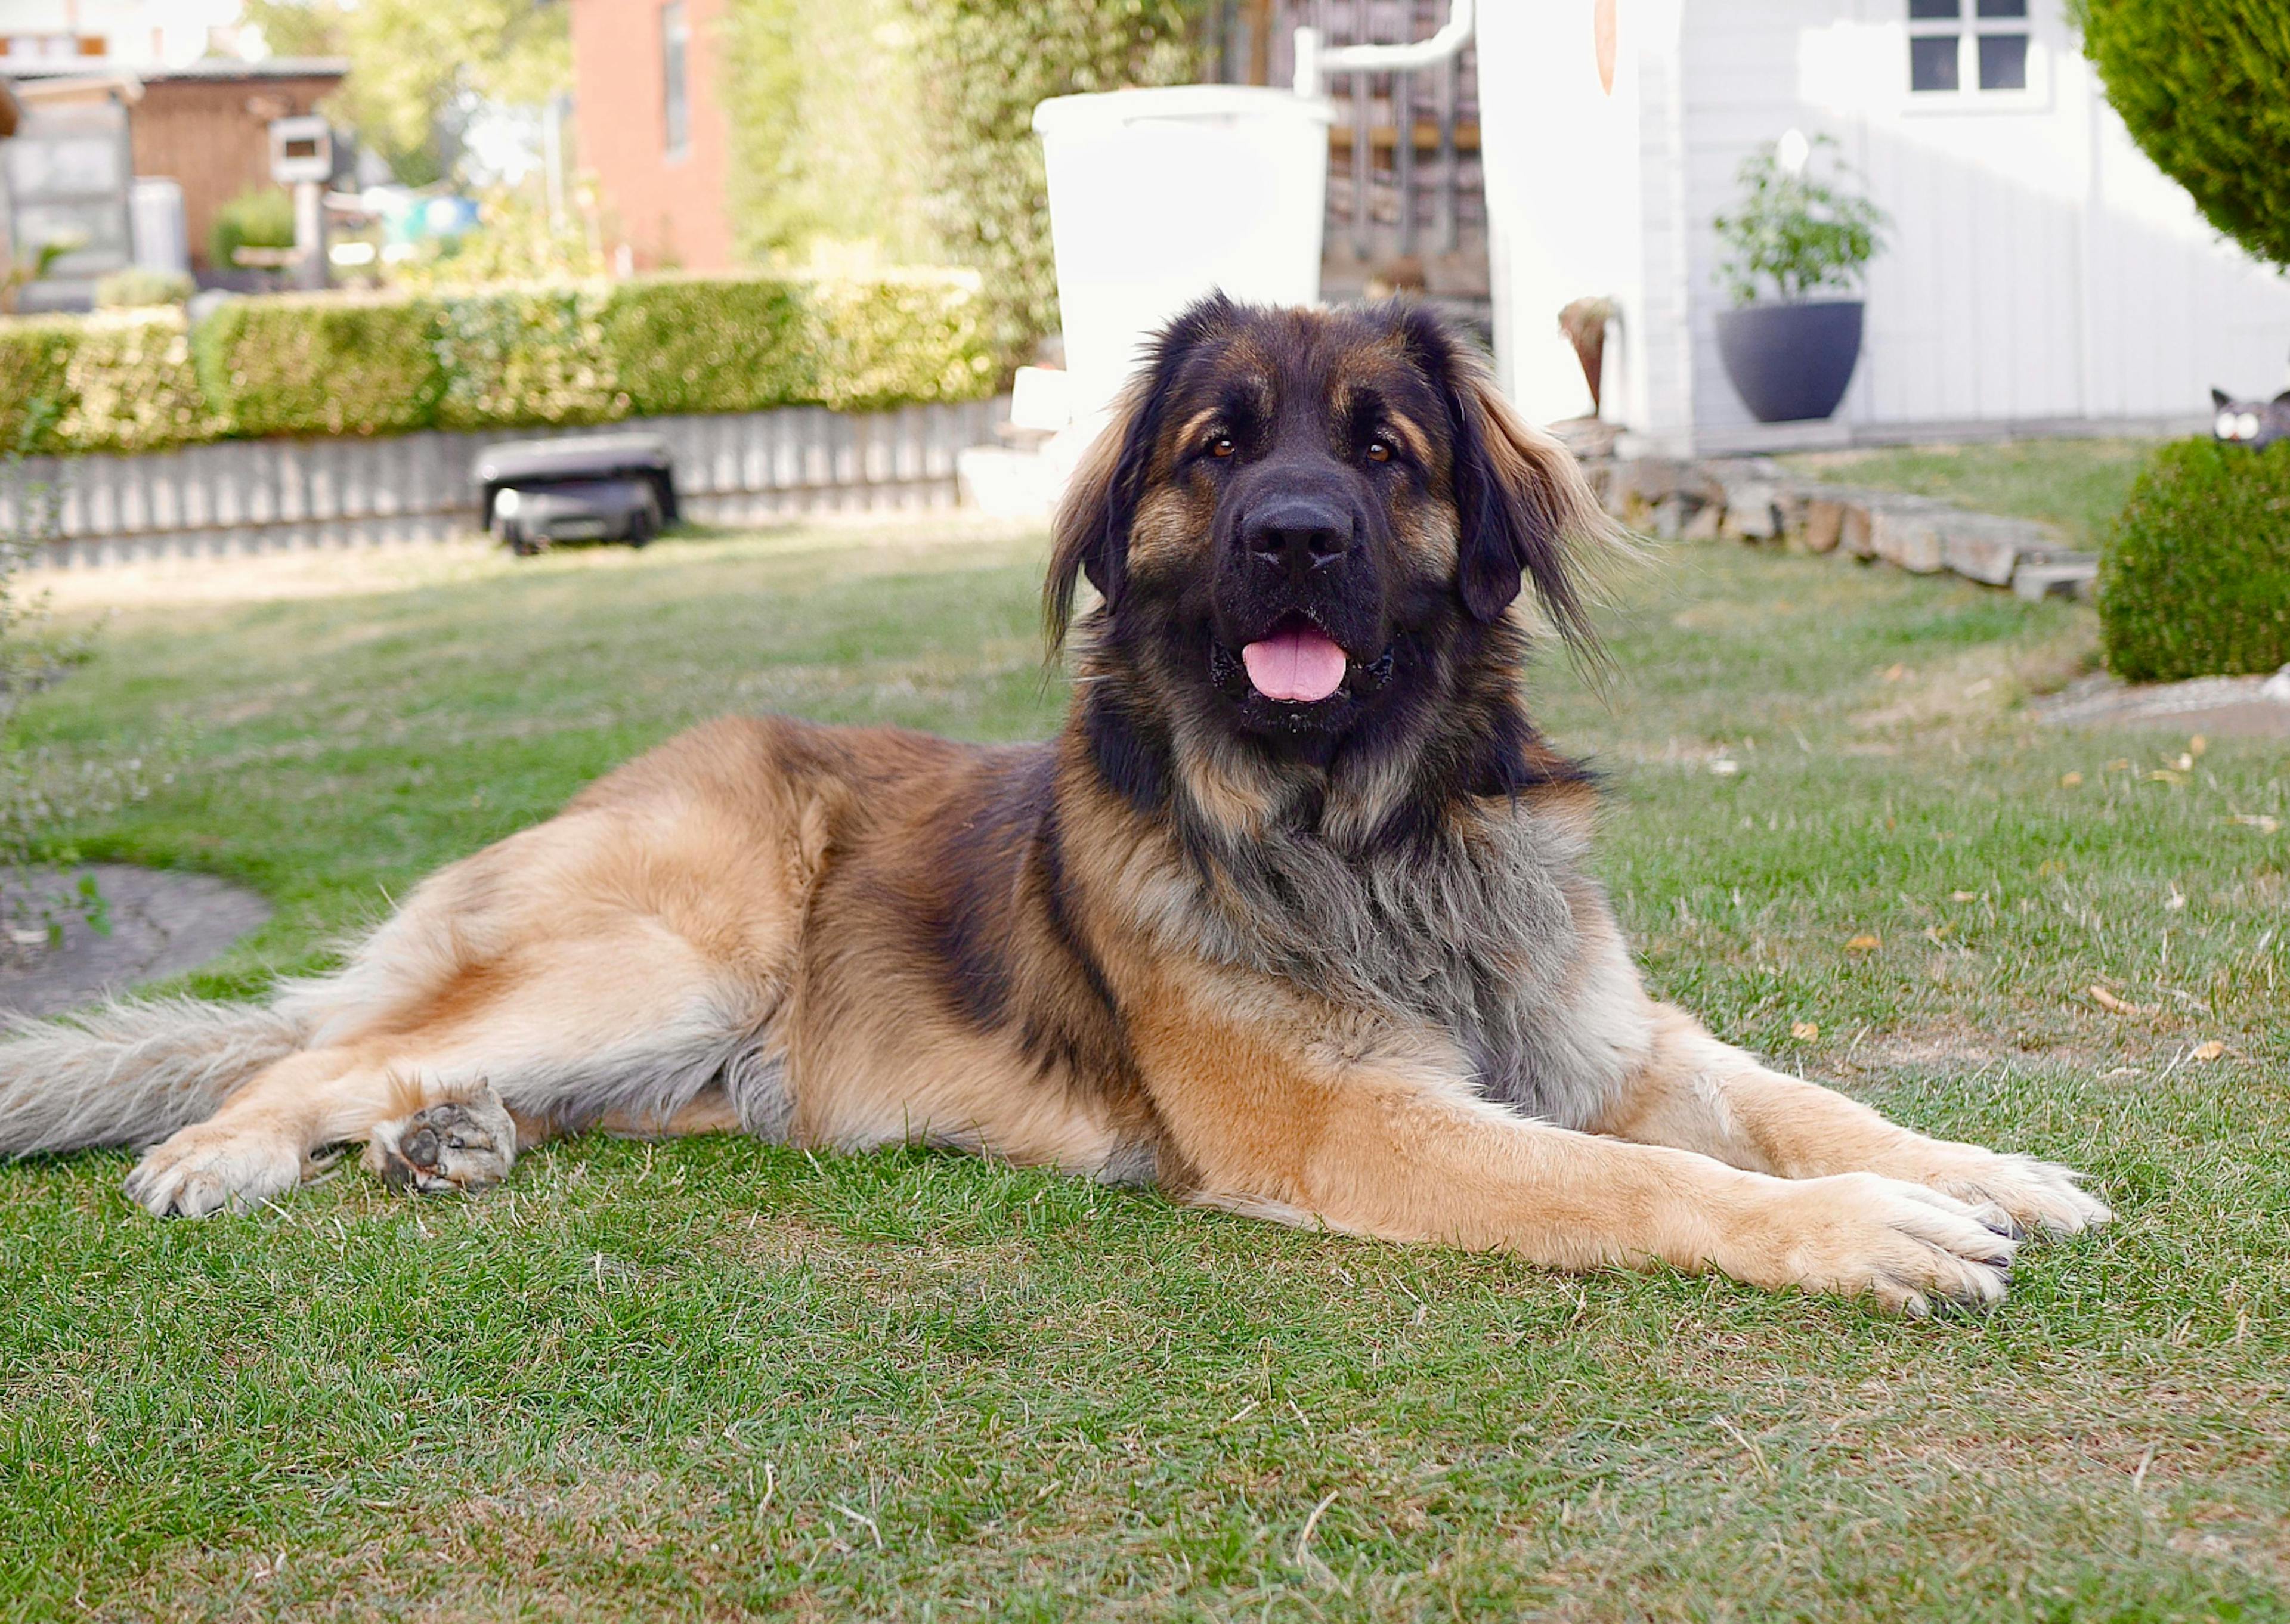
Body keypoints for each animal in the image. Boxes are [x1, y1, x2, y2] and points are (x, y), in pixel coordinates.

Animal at [0, 297, 2106, 1310]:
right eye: (1218, 447)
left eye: (1383, 449)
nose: (1291, 538)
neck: (1366, 824)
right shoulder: (1364, 1126)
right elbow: (1646, 1179)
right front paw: (1865, 1232)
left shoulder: (1605, 1034)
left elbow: (1800, 1098)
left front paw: (1980, 1169)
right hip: (665, 958)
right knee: (318, 1055)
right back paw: (233, 1149)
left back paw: (449, 1142)